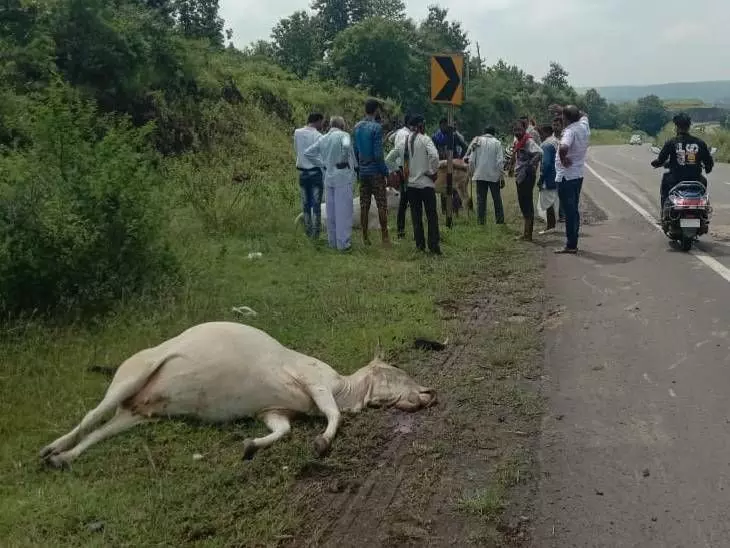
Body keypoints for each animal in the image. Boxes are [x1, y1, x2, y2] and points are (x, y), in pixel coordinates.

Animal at [38, 322, 432, 466]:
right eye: (397, 372)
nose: (430, 393)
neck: (346, 387)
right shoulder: (315, 382)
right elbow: (332, 414)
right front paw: (321, 443)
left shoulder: (274, 410)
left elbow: (282, 430)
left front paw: (250, 445)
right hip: (133, 375)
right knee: (92, 415)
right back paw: (51, 447)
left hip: (135, 415)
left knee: (101, 432)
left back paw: (63, 458)